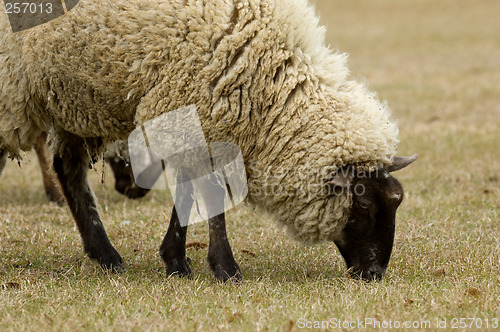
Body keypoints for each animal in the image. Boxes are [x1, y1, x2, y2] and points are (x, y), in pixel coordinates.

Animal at [0, 0, 418, 280]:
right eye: (363, 205)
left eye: (396, 201)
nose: (375, 273)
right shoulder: (193, 114)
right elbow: (212, 197)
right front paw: (226, 268)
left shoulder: (196, 123)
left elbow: (187, 193)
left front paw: (175, 260)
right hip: (17, 88)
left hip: (70, 95)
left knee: (68, 170)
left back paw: (105, 254)